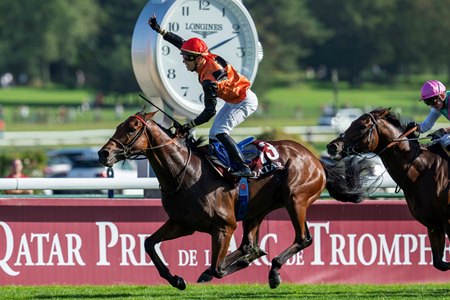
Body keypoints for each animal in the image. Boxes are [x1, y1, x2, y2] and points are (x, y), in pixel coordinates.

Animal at [98, 111, 366, 290]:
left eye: (132, 128)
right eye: (119, 125)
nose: (104, 153)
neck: (186, 174)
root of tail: (315, 159)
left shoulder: (224, 226)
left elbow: (218, 268)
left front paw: (212, 271)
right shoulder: (182, 224)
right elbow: (149, 243)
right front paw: (176, 279)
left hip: (295, 199)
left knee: (302, 238)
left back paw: (274, 272)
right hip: (256, 210)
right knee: (250, 245)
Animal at [326, 107, 450, 272]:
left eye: (362, 126)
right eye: (351, 123)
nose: (333, 146)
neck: (423, 169)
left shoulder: (447, 220)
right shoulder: (433, 224)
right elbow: (440, 263)